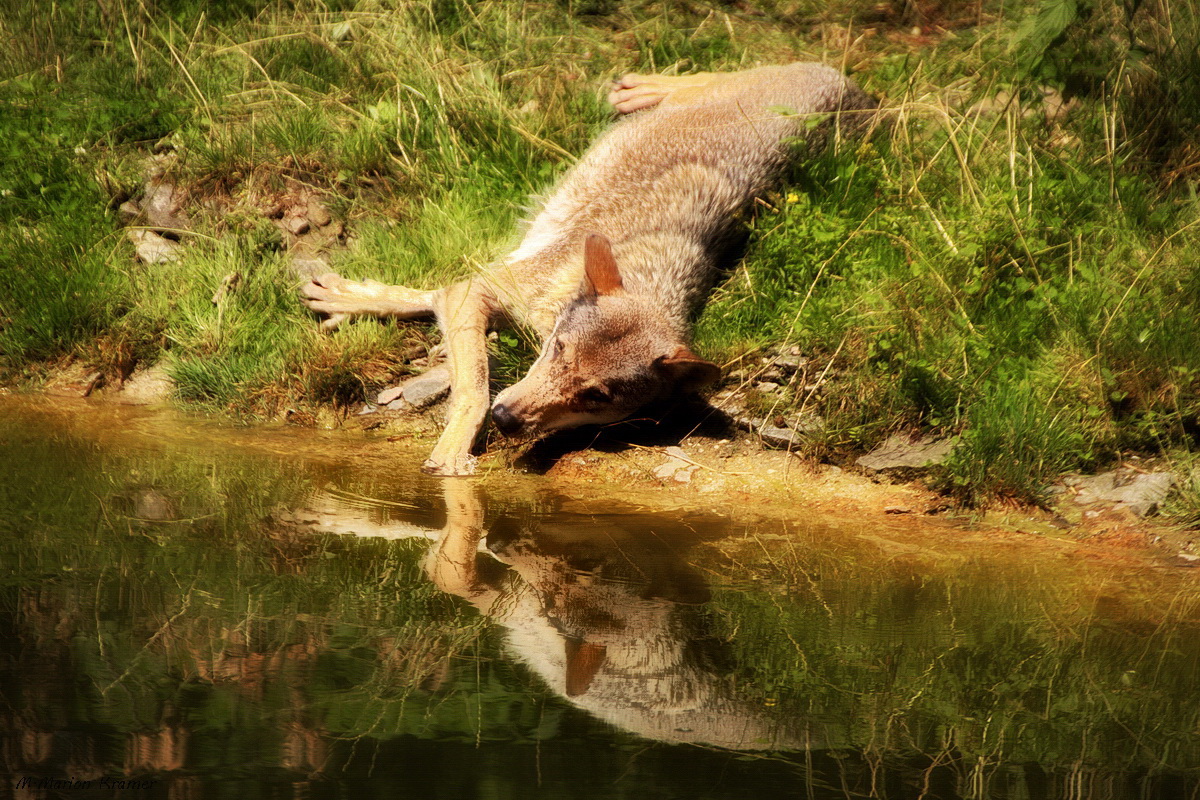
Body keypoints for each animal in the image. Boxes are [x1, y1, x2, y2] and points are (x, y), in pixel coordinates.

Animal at [298, 65, 873, 474]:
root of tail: (860, 94)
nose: (509, 420)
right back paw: (642, 88)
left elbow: (441, 313)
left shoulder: (485, 290)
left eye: (594, 398)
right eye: (558, 350)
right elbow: (473, 382)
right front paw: (457, 448)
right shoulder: (484, 288)